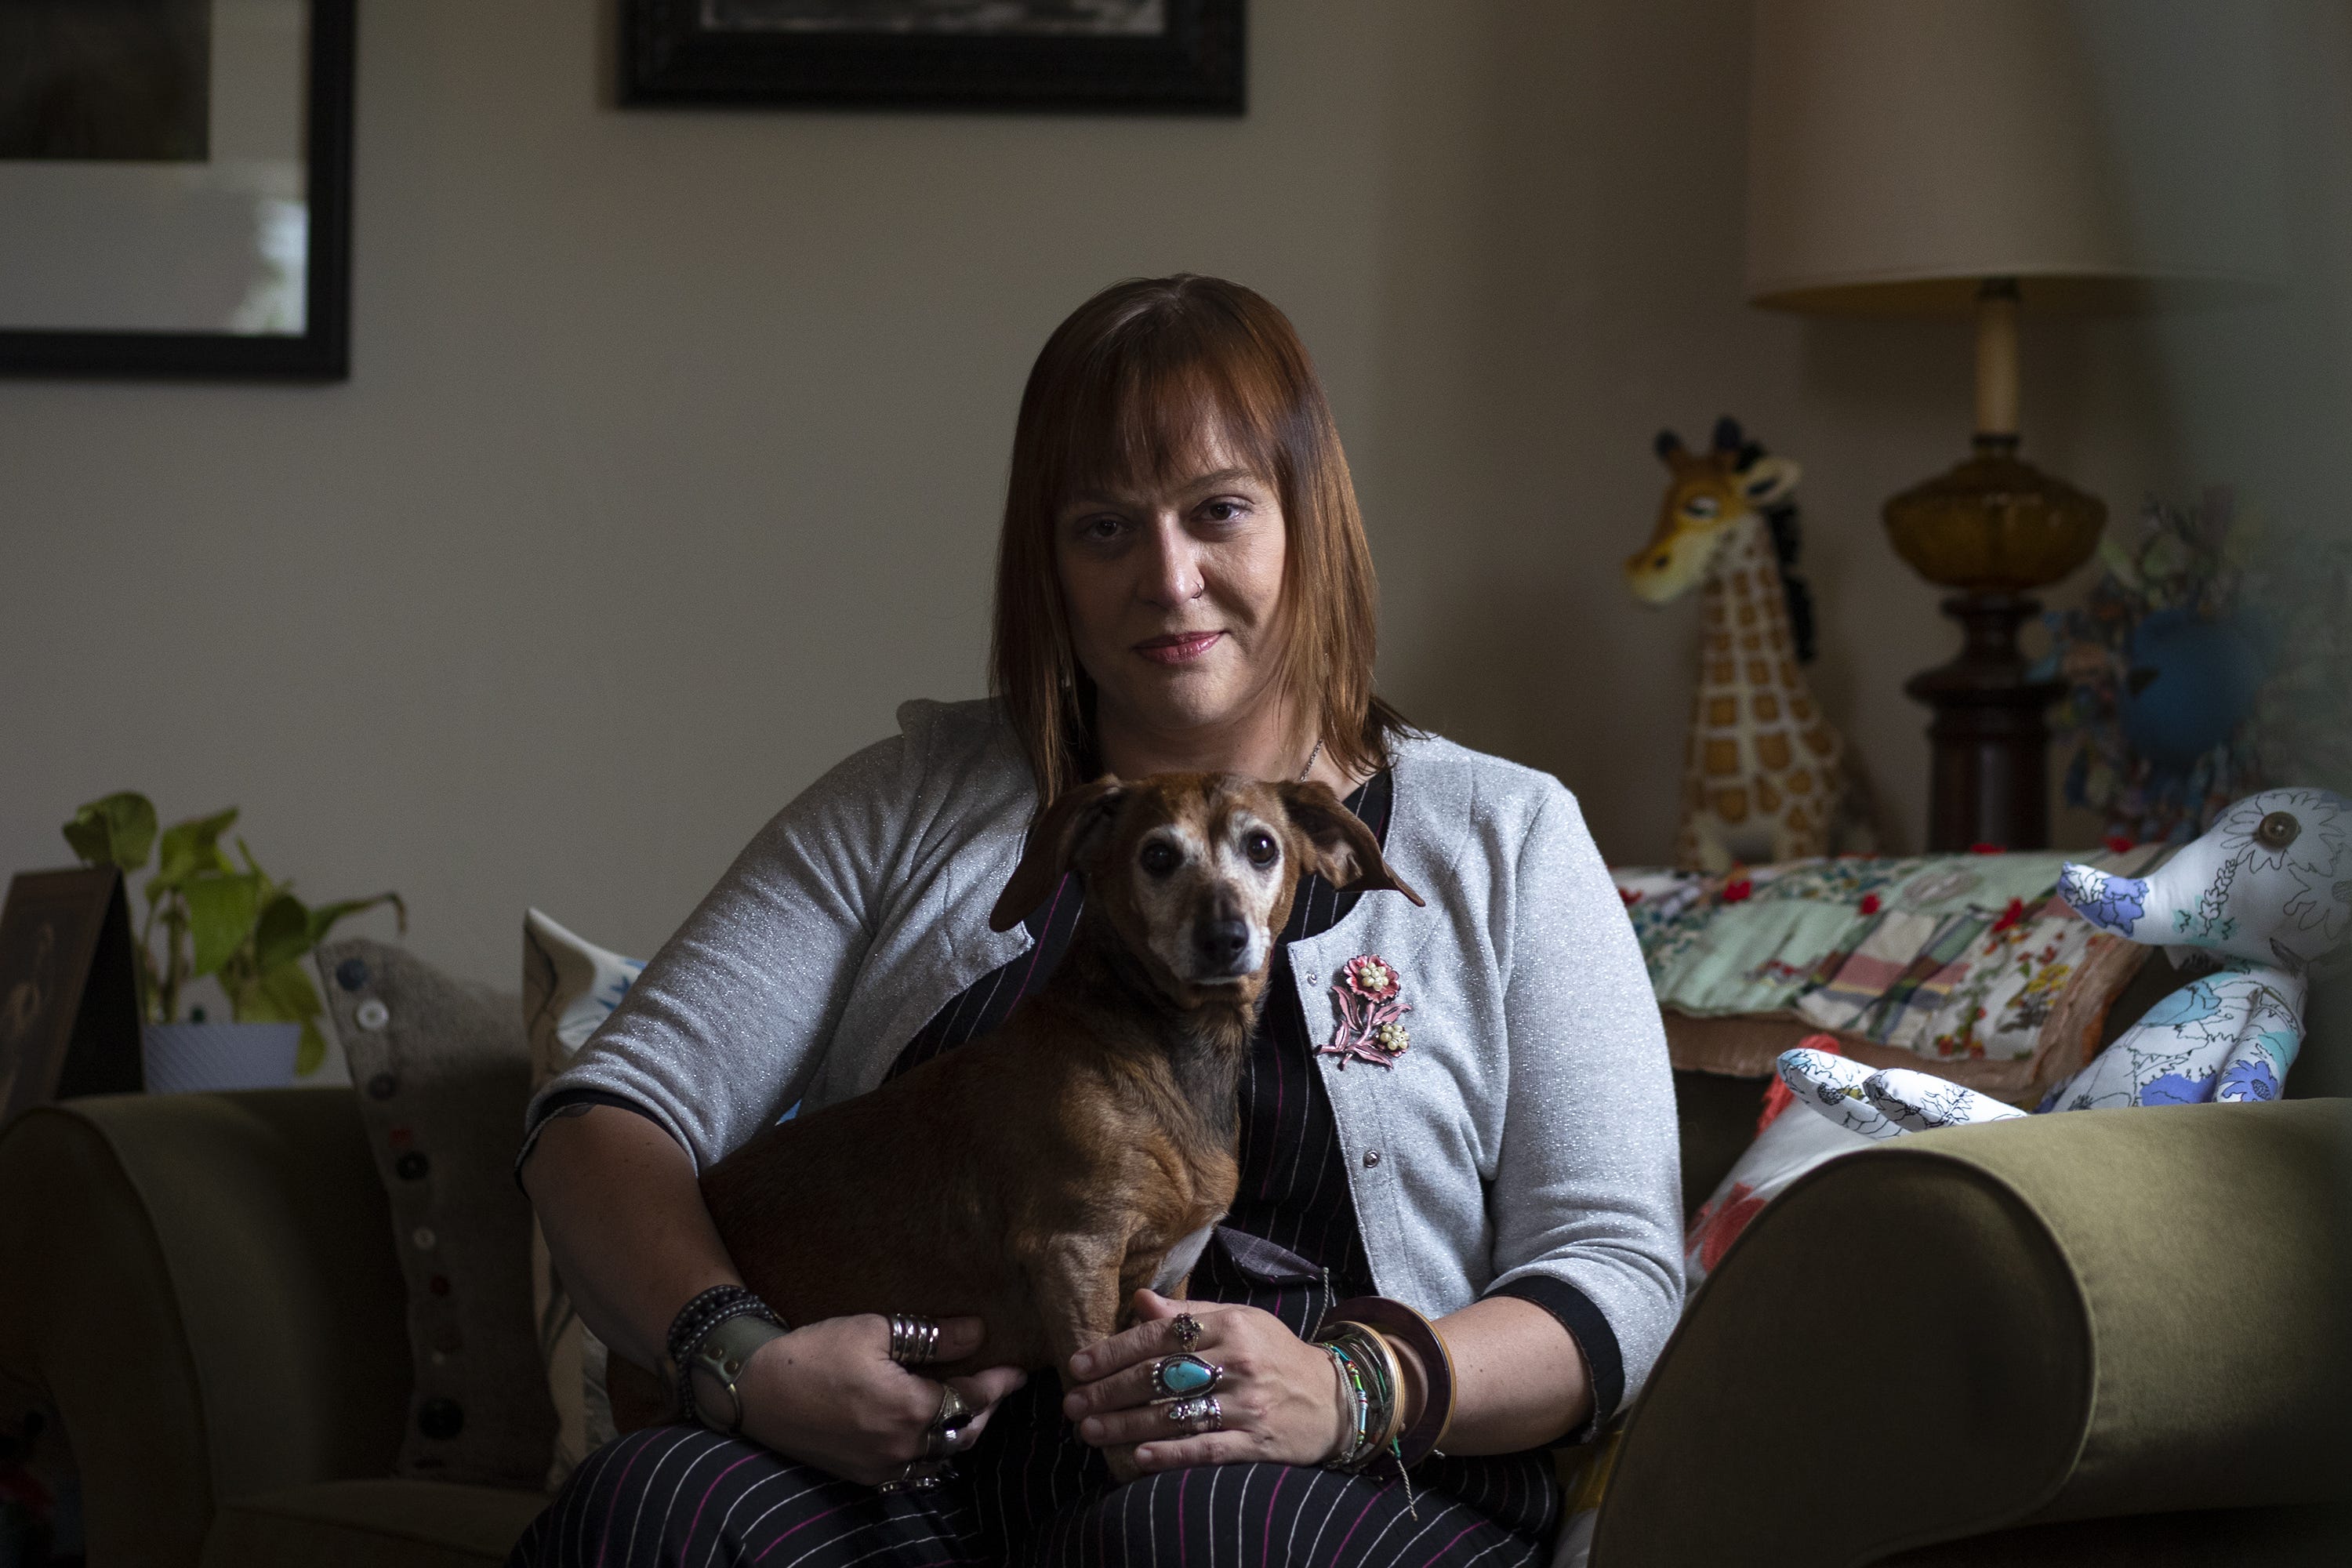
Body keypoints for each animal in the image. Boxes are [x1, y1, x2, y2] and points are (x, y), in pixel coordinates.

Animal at [607, 771, 1411, 1420]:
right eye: (1157, 856)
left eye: (1263, 848)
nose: (1224, 937)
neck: (1160, 1048)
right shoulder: (1075, 1258)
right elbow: (1101, 1410)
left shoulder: (1171, 1281)